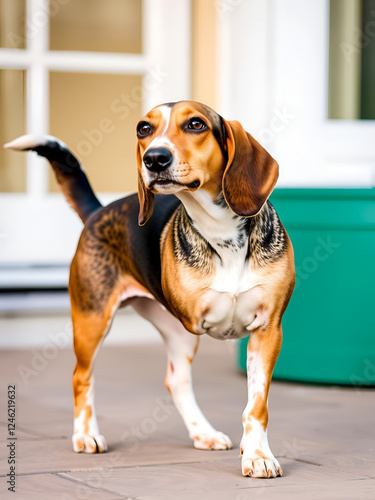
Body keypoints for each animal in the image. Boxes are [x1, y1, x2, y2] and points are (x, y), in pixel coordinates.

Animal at [4, 99, 296, 478]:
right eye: (144, 129)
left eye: (196, 124)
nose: (155, 158)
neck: (221, 233)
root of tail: (99, 211)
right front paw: (256, 454)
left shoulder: (267, 329)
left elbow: (256, 405)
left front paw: (257, 453)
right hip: (92, 320)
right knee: (81, 377)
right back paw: (85, 435)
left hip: (178, 333)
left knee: (177, 382)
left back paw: (203, 433)